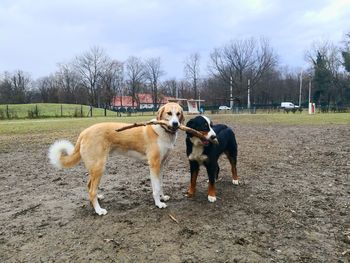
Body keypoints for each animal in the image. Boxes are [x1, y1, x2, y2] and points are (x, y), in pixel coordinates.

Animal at [49, 102, 186, 216]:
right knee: (92, 191)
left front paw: (163, 197)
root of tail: (84, 133)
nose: (176, 124)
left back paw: (97, 198)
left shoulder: (161, 165)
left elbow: (160, 184)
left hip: (94, 168)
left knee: (89, 186)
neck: (163, 130)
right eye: (169, 113)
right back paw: (99, 210)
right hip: (99, 167)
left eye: (178, 114)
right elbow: (156, 188)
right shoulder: (154, 165)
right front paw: (158, 203)